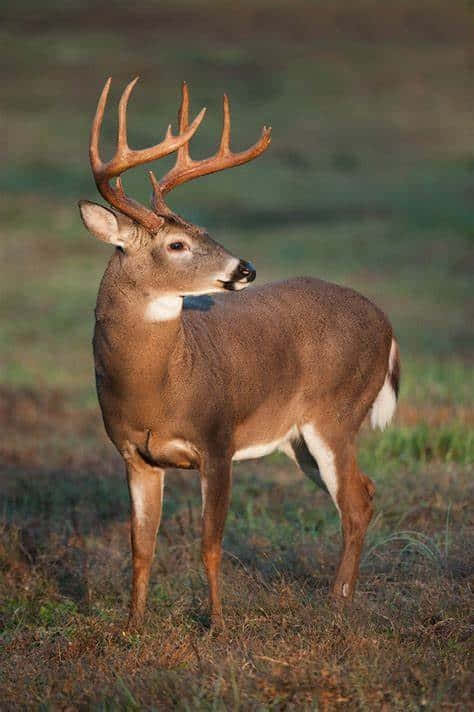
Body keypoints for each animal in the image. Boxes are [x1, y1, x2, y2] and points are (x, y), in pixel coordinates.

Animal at [78, 77, 400, 631]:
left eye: (206, 232)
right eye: (179, 244)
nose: (245, 268)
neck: (158, 387)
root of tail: (386, 323)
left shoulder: (218, 438)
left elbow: (210, 544)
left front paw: (218, 625)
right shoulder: (134, 453)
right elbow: (140, 547)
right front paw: (132, 626)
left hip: (335, 413)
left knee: (356, 499)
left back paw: (336, 601)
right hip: (299, 440)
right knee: (365, 491)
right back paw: (342, 595)